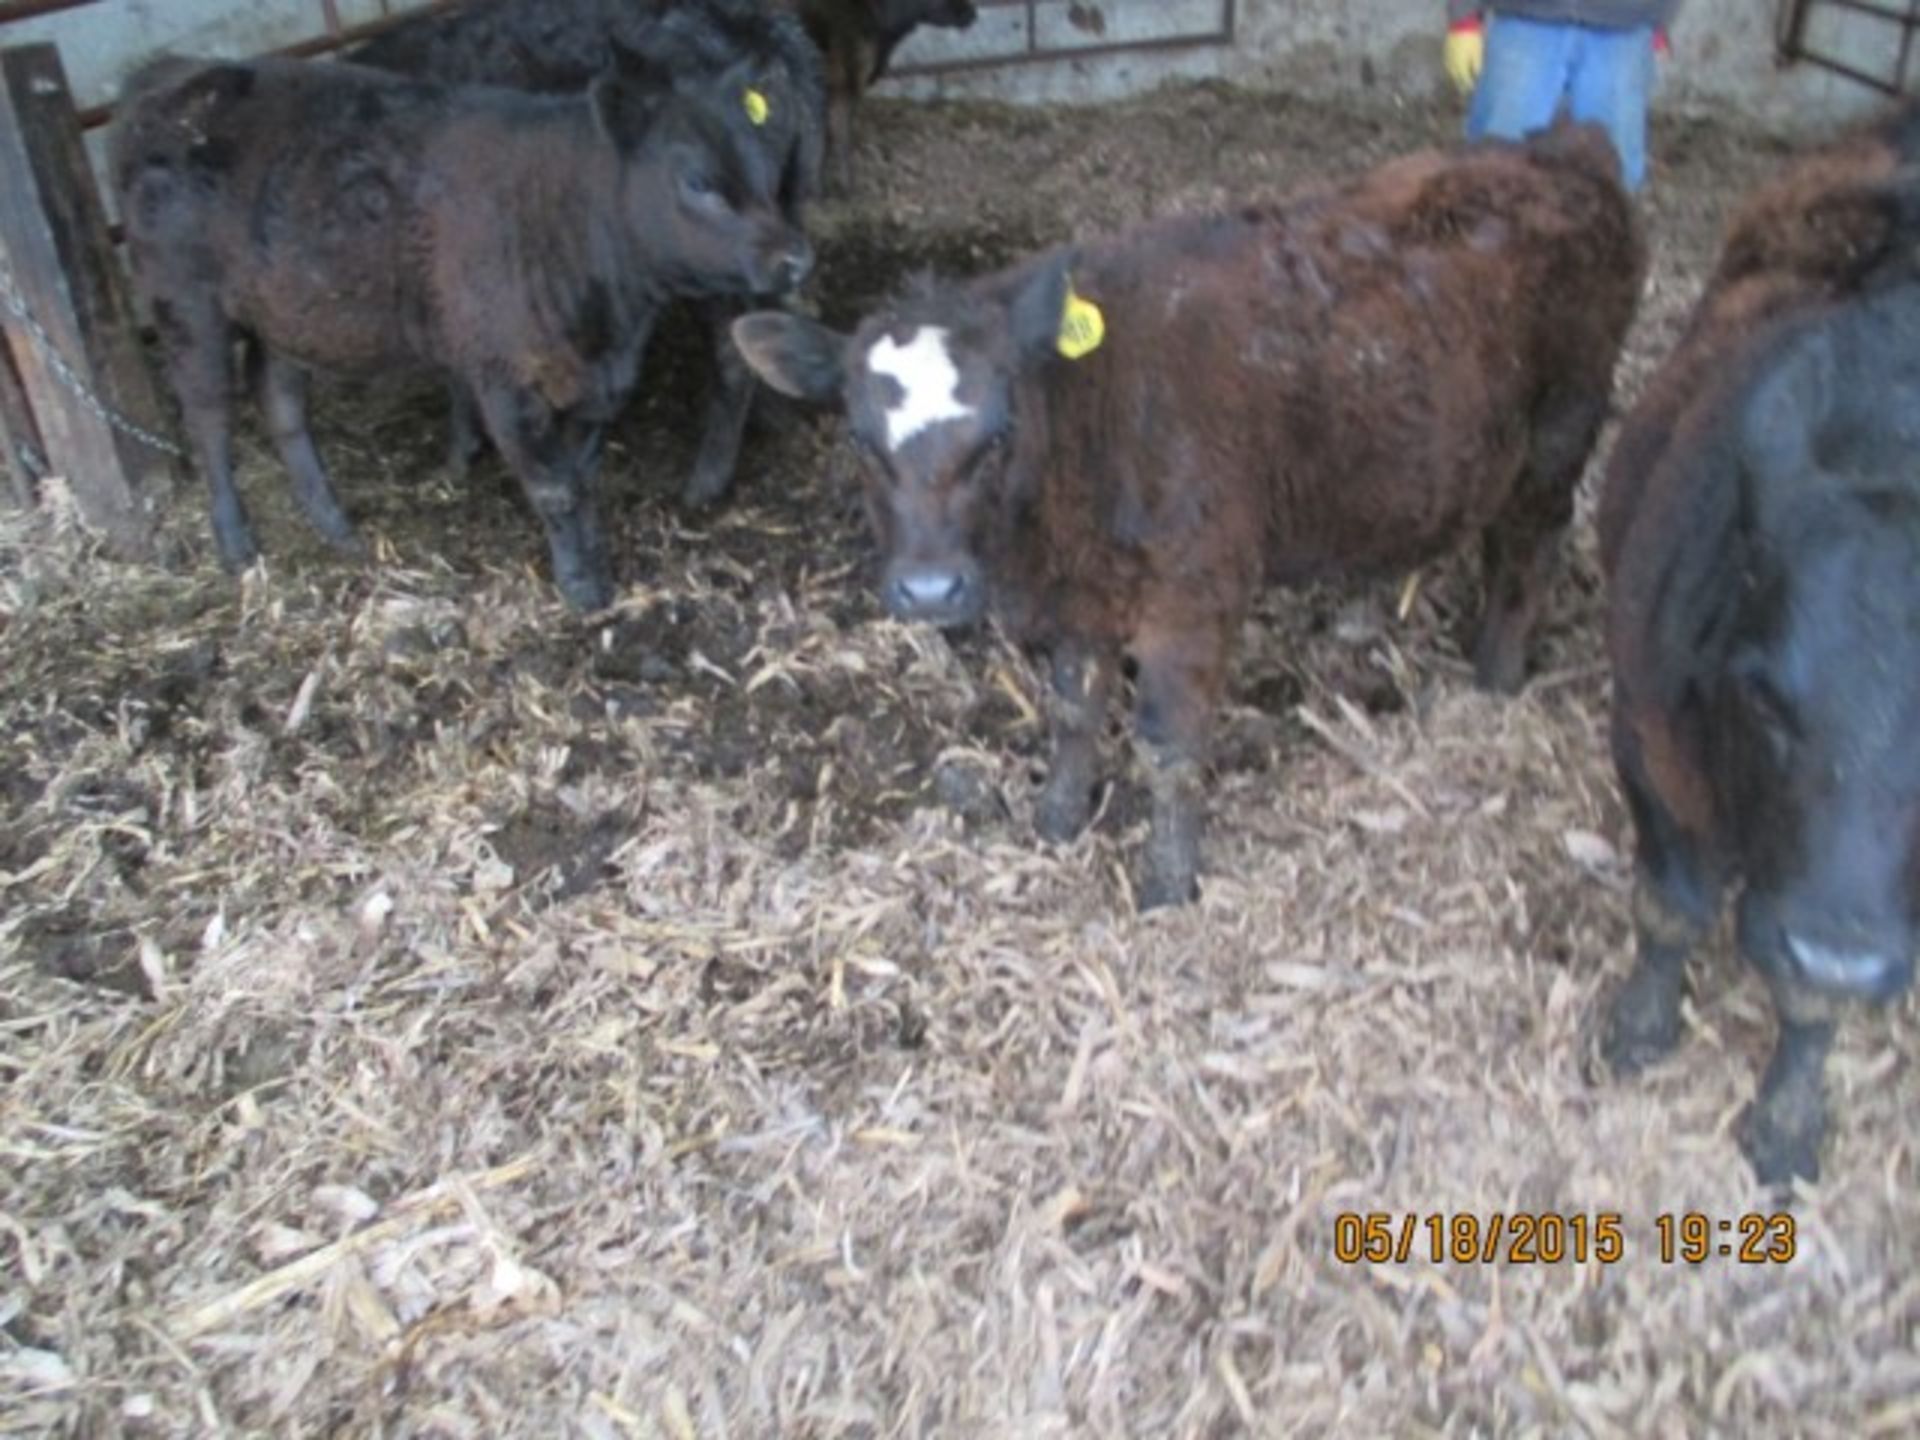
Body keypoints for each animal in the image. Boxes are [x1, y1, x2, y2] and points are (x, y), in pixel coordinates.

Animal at [737, 126, 1651, 913]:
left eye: (998, 433)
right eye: (859, 439)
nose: (930, 591)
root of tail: (1560, 149)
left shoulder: (1196, 592)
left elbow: (1169, 746)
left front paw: (1169, 885)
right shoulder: (1084, 598)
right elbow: (1074, 710)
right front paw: (1057, 822)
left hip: (1563, 425)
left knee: (1529, 548)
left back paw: (1496, 678)